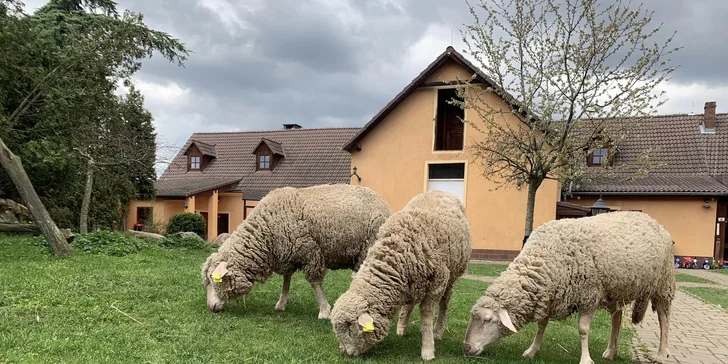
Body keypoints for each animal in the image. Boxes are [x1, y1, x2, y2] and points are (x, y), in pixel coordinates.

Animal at [199, 182, 392, 318]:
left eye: (215, 279)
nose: (210, 308)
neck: (266, 232)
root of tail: (383, 203)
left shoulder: (311, 251)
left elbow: (315, 283)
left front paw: (324, 310)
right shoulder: (288, 252)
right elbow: (286, 279)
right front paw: (282, 302)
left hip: (369, 246)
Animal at [328, 191, 472, 362]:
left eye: (350, 328)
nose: (344, 352)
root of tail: (440, 192)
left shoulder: (437, 284)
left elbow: (426, 317)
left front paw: (428, 349)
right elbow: (408, 306)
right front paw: (402, 326)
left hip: (452, 275)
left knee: (444, 303)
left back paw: (438, 331)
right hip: (417, 283)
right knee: (411, 302)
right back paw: (402, 327)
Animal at [464, 210, 672, 364]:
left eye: (488, 320)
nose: (466, 347)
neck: (544, 257)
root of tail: (652, 220)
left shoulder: (588, 295)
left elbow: (583, 330)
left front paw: (586, 359)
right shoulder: (550, 294)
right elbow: (541, 325)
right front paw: (532, 350)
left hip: (663, 285)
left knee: (664, 319)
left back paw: (662, 354)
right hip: (615, 288)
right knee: (617, 318)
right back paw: (611, 351)